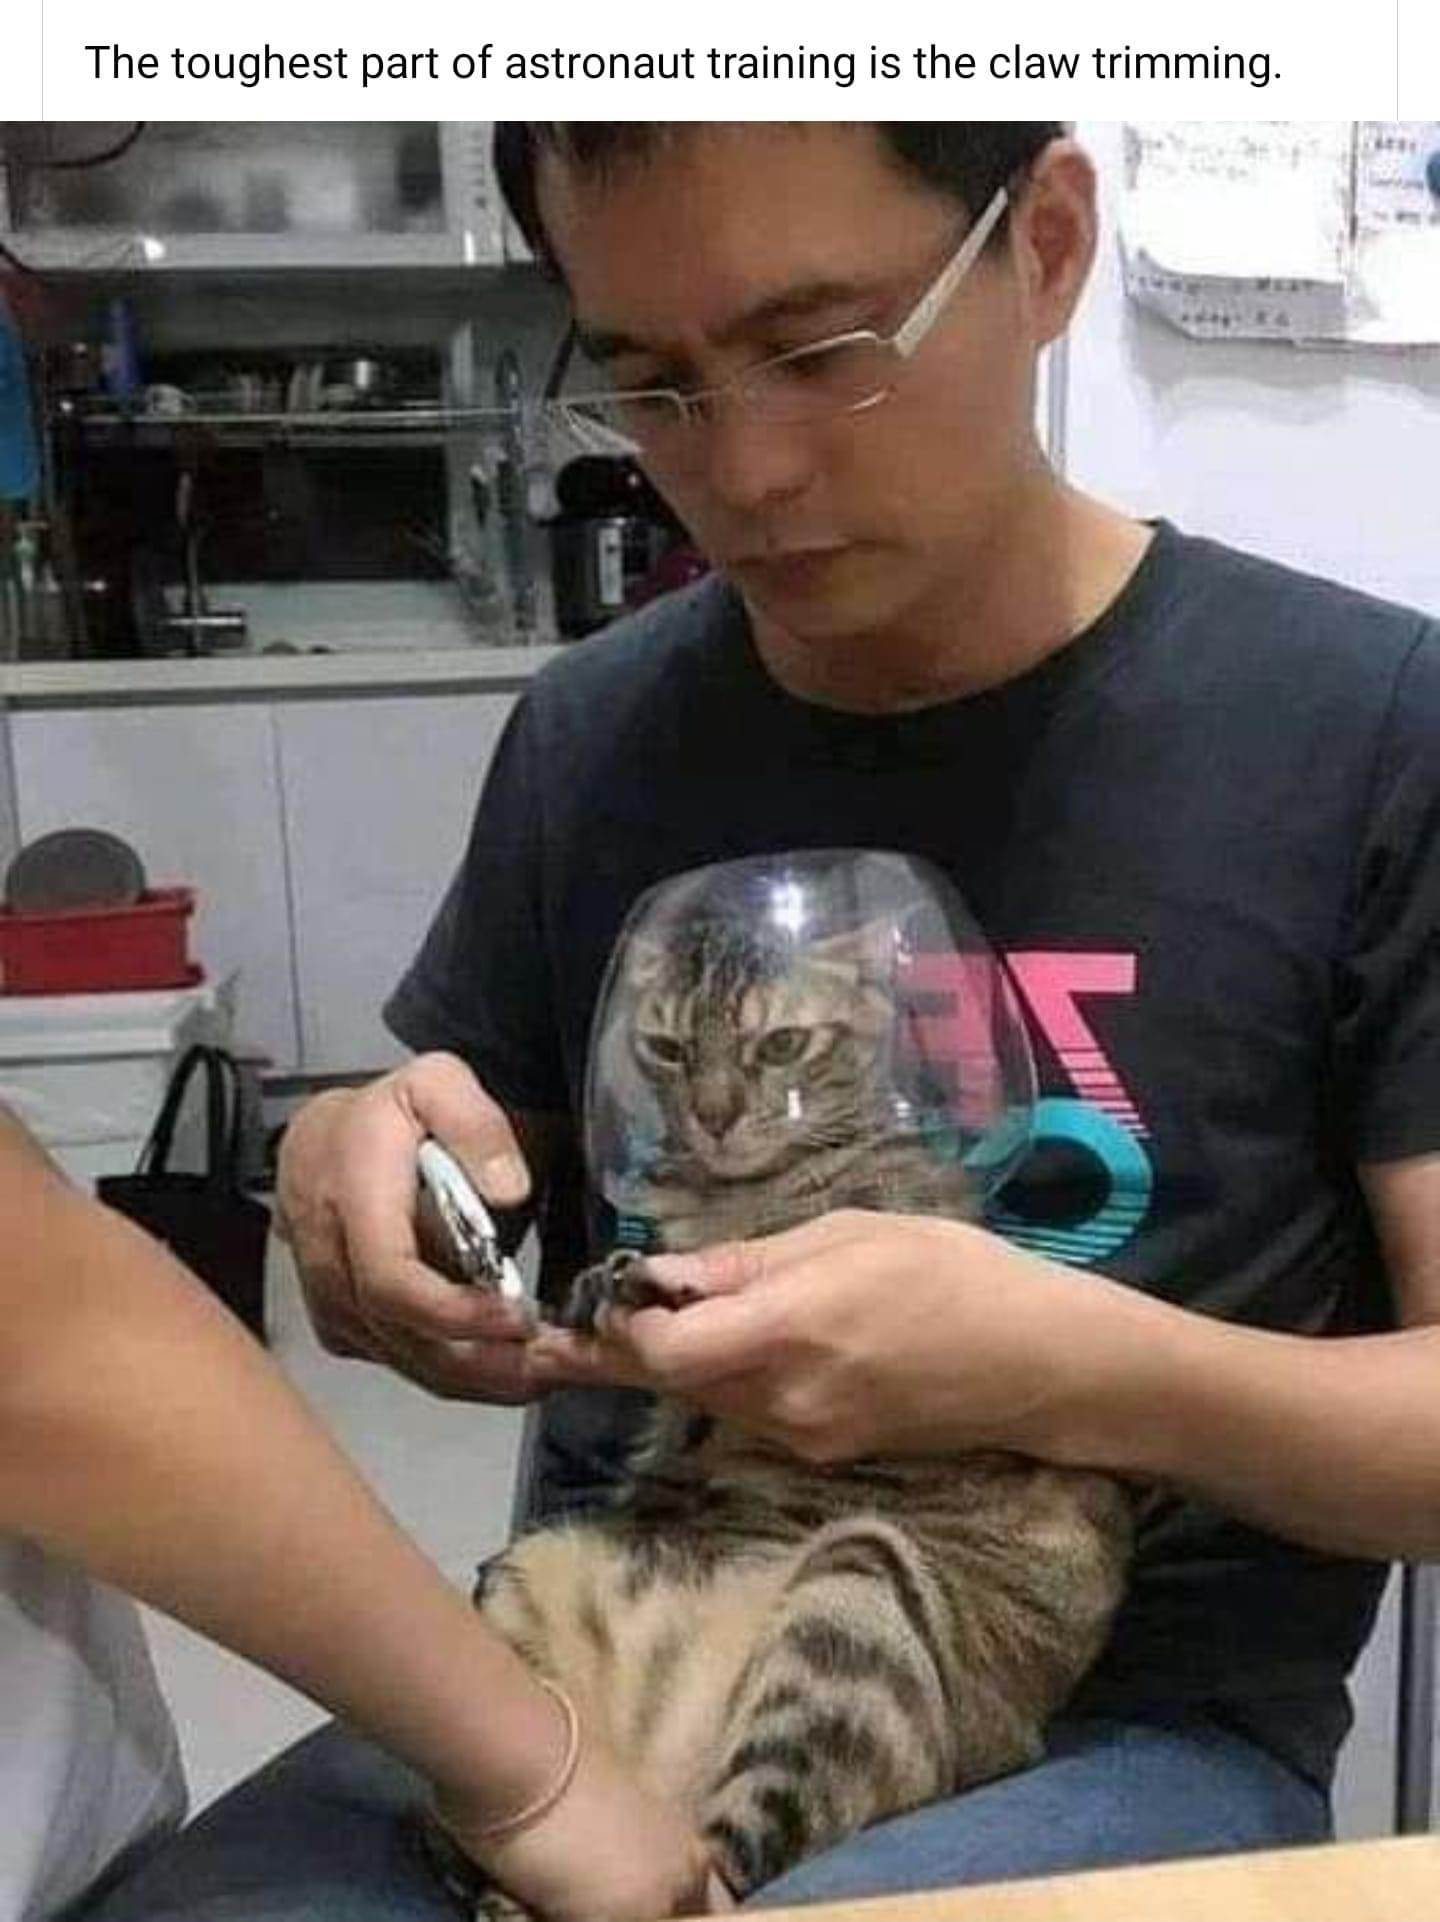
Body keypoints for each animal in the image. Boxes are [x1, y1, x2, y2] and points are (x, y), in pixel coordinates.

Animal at [458, 913, 1135, 1908]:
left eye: (780, 1044)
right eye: (667, 1048)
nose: (714, 1114)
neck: (734, 1199)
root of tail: (656, 1777)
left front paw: (647, 1285)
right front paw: (605, 1285)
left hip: (859, 1591)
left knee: (727, 1865)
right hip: (521, 1583)